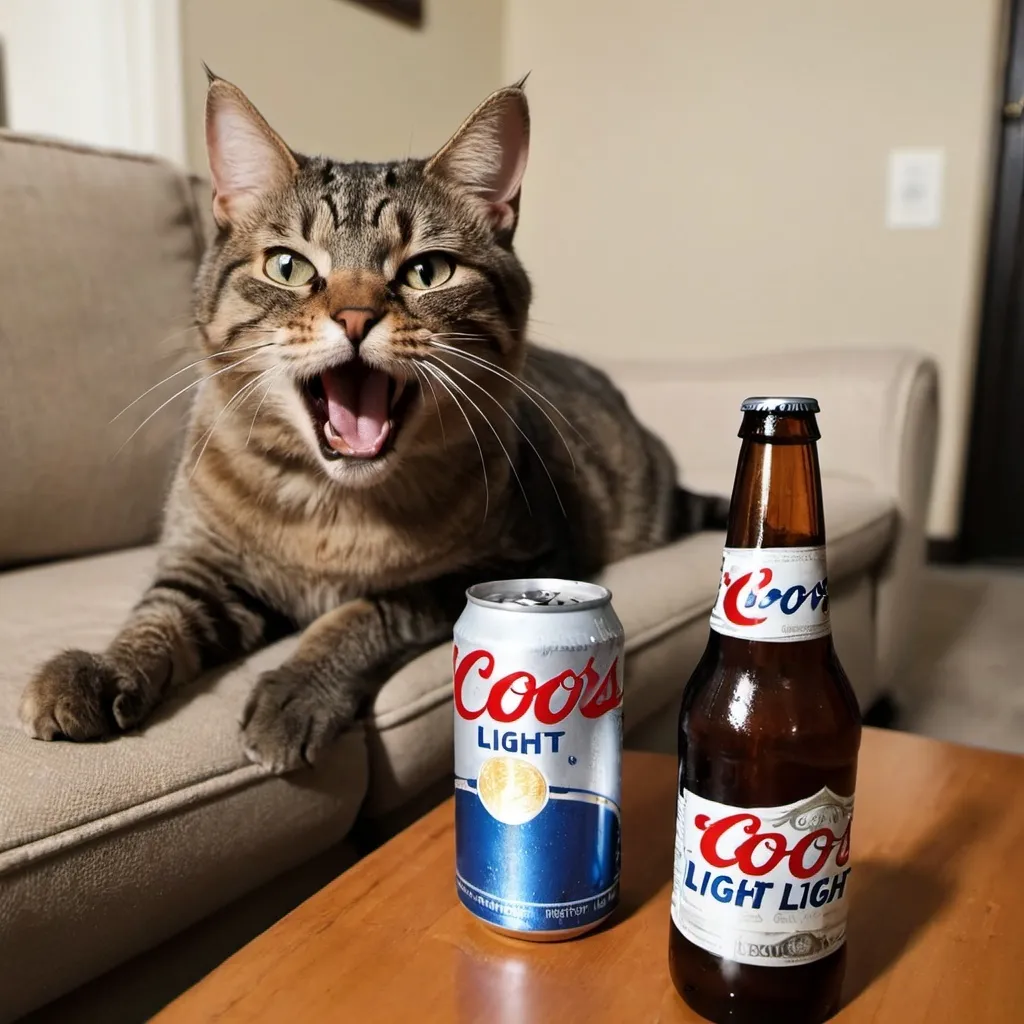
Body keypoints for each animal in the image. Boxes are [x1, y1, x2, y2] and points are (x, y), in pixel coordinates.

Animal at [19, 74, 724, 774]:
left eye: (427, 271)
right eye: (288, 266)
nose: (355, 317)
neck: (329, 506)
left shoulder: (508, 563)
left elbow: (370, 609)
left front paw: (298, 689)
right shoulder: (207, 566)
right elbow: (159, 614)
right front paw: (100, 669)